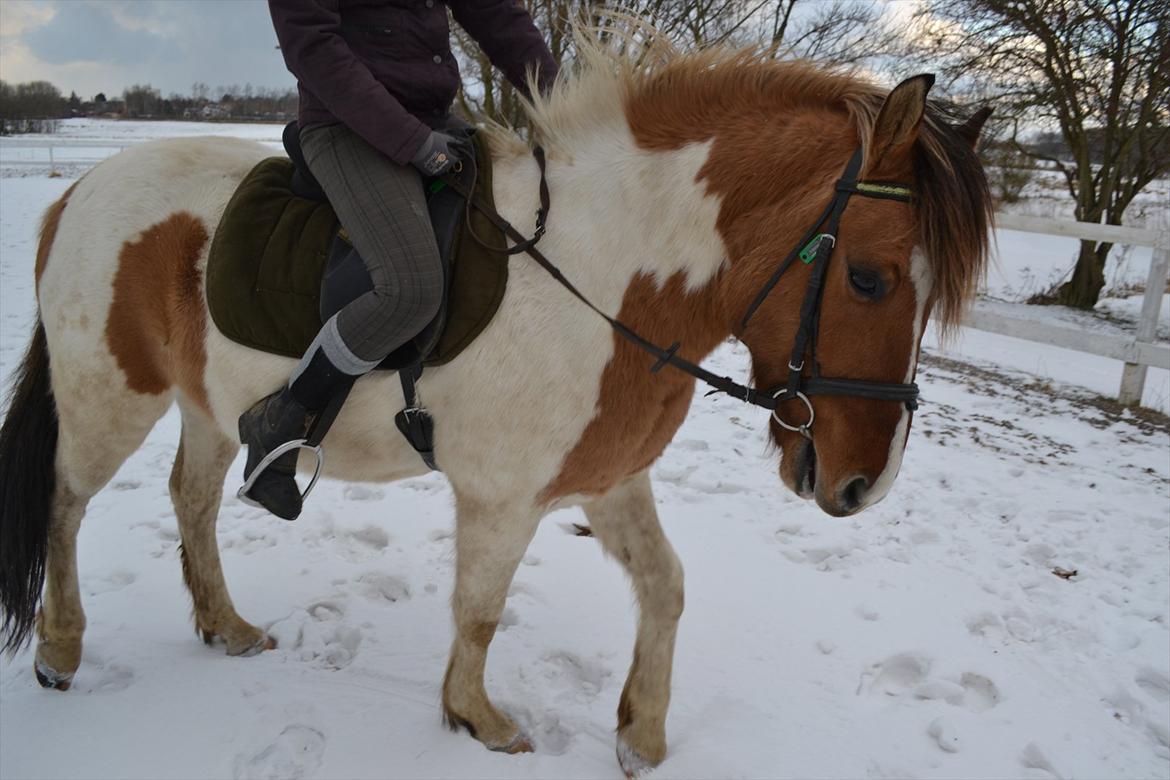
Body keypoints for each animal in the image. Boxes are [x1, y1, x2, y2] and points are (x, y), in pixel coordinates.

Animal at [0, 35, 992, 776]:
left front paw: (642, 734)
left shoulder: (608, 478)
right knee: (64, 504)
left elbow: (666, 587)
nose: (863, 484)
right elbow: (480, 609)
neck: (606, 275)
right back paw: (60, 650)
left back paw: (226, 625)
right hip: (107, 397)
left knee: (193, 500)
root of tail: (79, 192)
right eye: (869, 278)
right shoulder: (504, 498)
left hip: (208, 405)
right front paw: (476, 718)